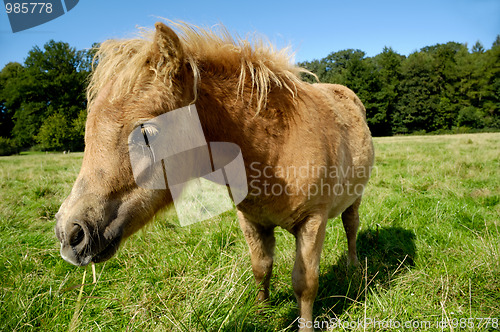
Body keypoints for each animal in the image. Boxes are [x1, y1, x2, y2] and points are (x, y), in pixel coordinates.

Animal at [55, 20, 376, 330]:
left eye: (146, 133)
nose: (69, 233)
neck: (278, 145)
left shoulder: (313, 220)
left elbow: (305, 284)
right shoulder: (252, 220)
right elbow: (261, 267)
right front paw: (262, 310)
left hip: (355, 198)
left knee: (351, 227)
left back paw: (353, 266)